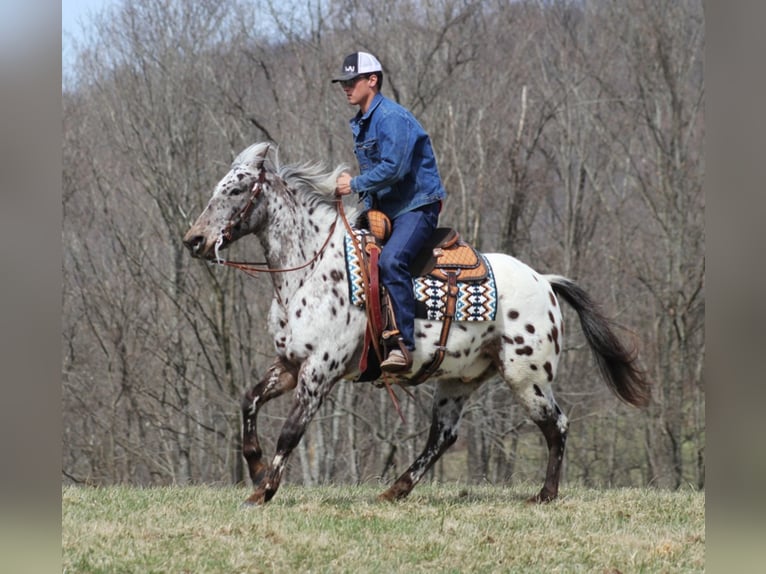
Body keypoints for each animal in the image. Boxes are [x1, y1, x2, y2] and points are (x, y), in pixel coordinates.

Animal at [183, 142, 652, 506]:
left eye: (236, 189)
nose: (194, 240)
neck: (311, 272)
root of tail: (546, 281)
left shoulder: (319, 372)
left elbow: (291, 432)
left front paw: (263, 490)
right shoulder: (289, 365)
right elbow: (248, 402)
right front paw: (257, 467)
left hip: (527, 377)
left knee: (557, 425)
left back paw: (545, 495)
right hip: (459, 380)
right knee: (442, 437)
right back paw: (396, 489)